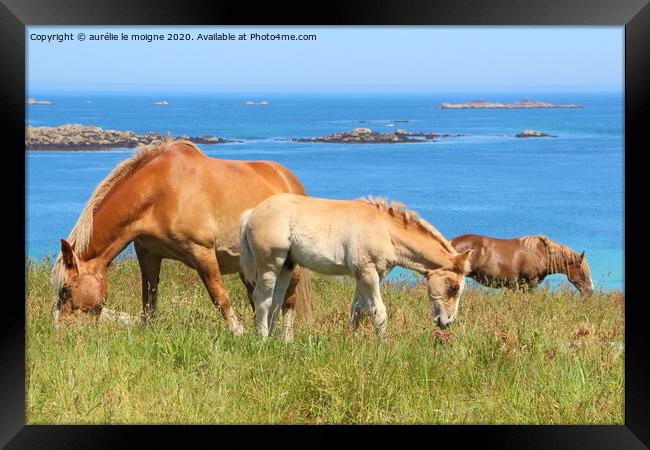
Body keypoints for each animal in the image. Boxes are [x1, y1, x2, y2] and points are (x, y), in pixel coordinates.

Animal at [52, 139, 312, 332]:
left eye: (66, 289)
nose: (61, 330)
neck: (161, 191)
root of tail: (289, 180)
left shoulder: (202, 252)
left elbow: (220, 296)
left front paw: (237, 332)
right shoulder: (148, 253)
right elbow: (149, 298)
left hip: (291, 266)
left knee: (288, 300)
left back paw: (285, 339)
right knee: (261, 299)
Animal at [238, 194, 470, 342]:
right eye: (454, 287)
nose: (446, 321)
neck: (384, 229)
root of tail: (251, 214)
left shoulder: (367, 275)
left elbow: (357, 309)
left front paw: (353, 342)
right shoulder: (367, 272)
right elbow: (379, 312)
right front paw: (383, 347)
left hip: (287, 265)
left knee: (277, 300)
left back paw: (279, 340)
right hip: (270, 264)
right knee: (262, 298)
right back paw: (263, 339)